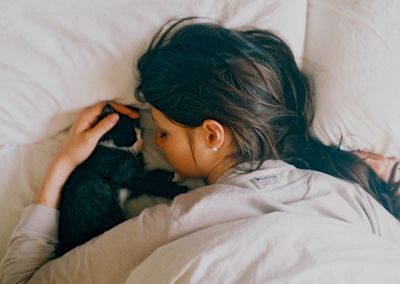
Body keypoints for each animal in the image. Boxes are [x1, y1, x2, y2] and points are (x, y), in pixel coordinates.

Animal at [56, 103, 188, 256]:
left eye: (141, 134)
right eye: (131, 137)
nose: (142, 145)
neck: (111, 147)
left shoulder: (134, 180)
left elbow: (153, 174)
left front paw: (175, 175)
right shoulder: (128, 176)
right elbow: (153, 183)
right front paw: (180, 189)